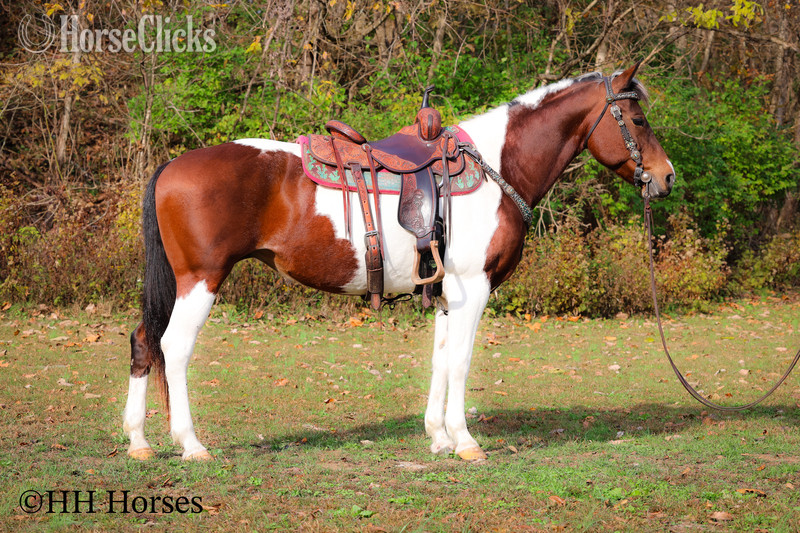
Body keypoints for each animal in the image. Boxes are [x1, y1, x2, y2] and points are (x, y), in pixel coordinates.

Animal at [122, 63, 675, 461]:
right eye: (638, 120)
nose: (667, 178)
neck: (497, 168)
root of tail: (171, 166)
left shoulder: (449, 294)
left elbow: (441, 359)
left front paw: (439, 437)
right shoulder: (474, 288)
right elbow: (462, 361)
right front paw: (465, 442)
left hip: (178, 285)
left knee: (145, 340)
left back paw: (139, 442)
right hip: (201, 280)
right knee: (173, 347)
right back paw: (191, 444)